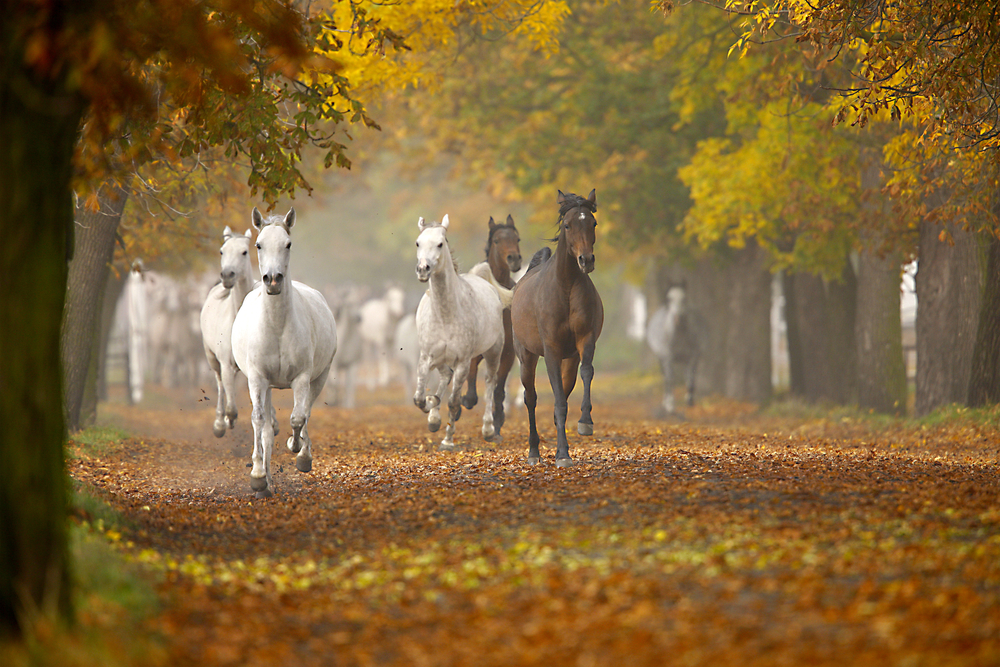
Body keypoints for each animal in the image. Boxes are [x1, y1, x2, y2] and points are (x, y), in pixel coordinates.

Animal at [198, 227, 254, 438]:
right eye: (222, 251)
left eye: (244, 252)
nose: (227, 275)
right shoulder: (226, 364)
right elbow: (232, 407)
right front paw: (227, 422)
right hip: (213, 359)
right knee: (221, 384)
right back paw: (220, 424)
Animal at [231, 207, 338, 496]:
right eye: (258, 244)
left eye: (288, 244)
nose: (273, 280)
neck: (277, 327)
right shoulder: (258, 379)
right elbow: (259, 421)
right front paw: (258, 475)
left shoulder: (302, 378)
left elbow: (298, 417)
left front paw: (297, 449)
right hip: (266, 386)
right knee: (267, 428)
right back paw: (265, 483)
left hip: (319, 377)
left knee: (307, 410)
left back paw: (301, 453)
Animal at [412, 217, 512, 452]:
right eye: (418, 243)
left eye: (441, 243)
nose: (423, 269)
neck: (445, 314)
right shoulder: (426, 357)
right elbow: (419, 398)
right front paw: (431, 407)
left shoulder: (463, 362)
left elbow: (454, 402)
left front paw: (447, 441)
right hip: (440, 359)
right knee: (445, 376)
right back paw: (434, 416)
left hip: (494, 352)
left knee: (490, 382)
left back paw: (488, 430)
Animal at [460, 214, 524, 438]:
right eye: (497, 240)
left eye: (517, 238)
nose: (514, 259)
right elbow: (471, 380)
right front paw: (466, 400)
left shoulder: (508, 352)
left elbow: (498, 388)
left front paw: (497, 422)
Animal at [512, 190, 604, 468]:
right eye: (568, 225)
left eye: (593, 223)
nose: (586, 260)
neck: (566, 286)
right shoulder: (551, 349)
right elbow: (558, 401)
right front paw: (562, 454)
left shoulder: (584, 341)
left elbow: (586, 373)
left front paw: (585, 423)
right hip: (526, 356)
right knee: (530, 398)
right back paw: (533, 451)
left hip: (568, 360)